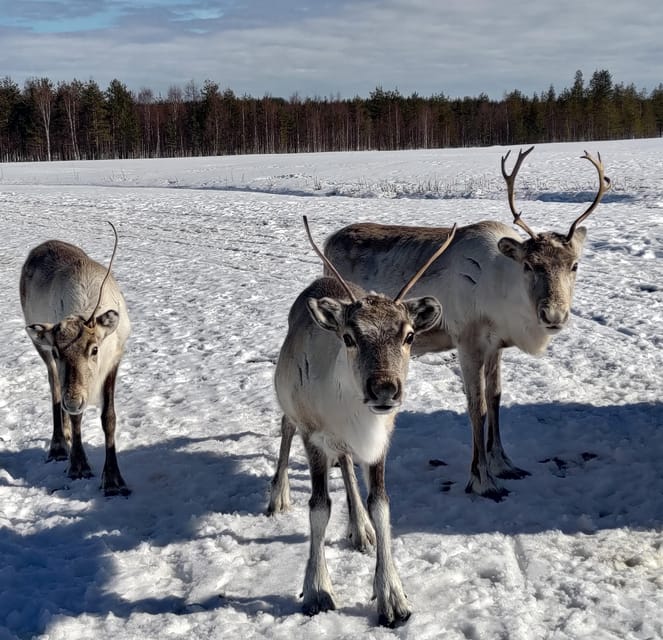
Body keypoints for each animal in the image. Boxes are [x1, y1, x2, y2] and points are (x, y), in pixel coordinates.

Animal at [20, 222, 131, 496]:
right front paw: (79, 466)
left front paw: (113, 481)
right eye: (59, 351)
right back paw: (59, 445)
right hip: (39, 347)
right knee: (55, 390)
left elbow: (109, 417)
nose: (73, 401)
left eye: (94, 349)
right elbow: (75, 415)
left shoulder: (115, 359)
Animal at [269, 215, 455, 626]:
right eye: (349, 337)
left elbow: (380, 505)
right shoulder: (315, 437)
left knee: (346, 464)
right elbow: (319, 507)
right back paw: (278, 496)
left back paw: (360, 529)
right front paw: (317, 589)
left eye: (409, 336)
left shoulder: (379, 441)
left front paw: (392, 596)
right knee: (286, 430)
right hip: (290, 406)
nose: (384, 389)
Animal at [321, 148, 610, 501]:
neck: (501, 288)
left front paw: (504, 464)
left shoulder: (496, 346)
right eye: (529, 265)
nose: (554, 316)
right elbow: (478, 407)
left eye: (574, 265)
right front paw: (482, 479)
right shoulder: (468, 343)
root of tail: (328, 240)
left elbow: (496, 398)